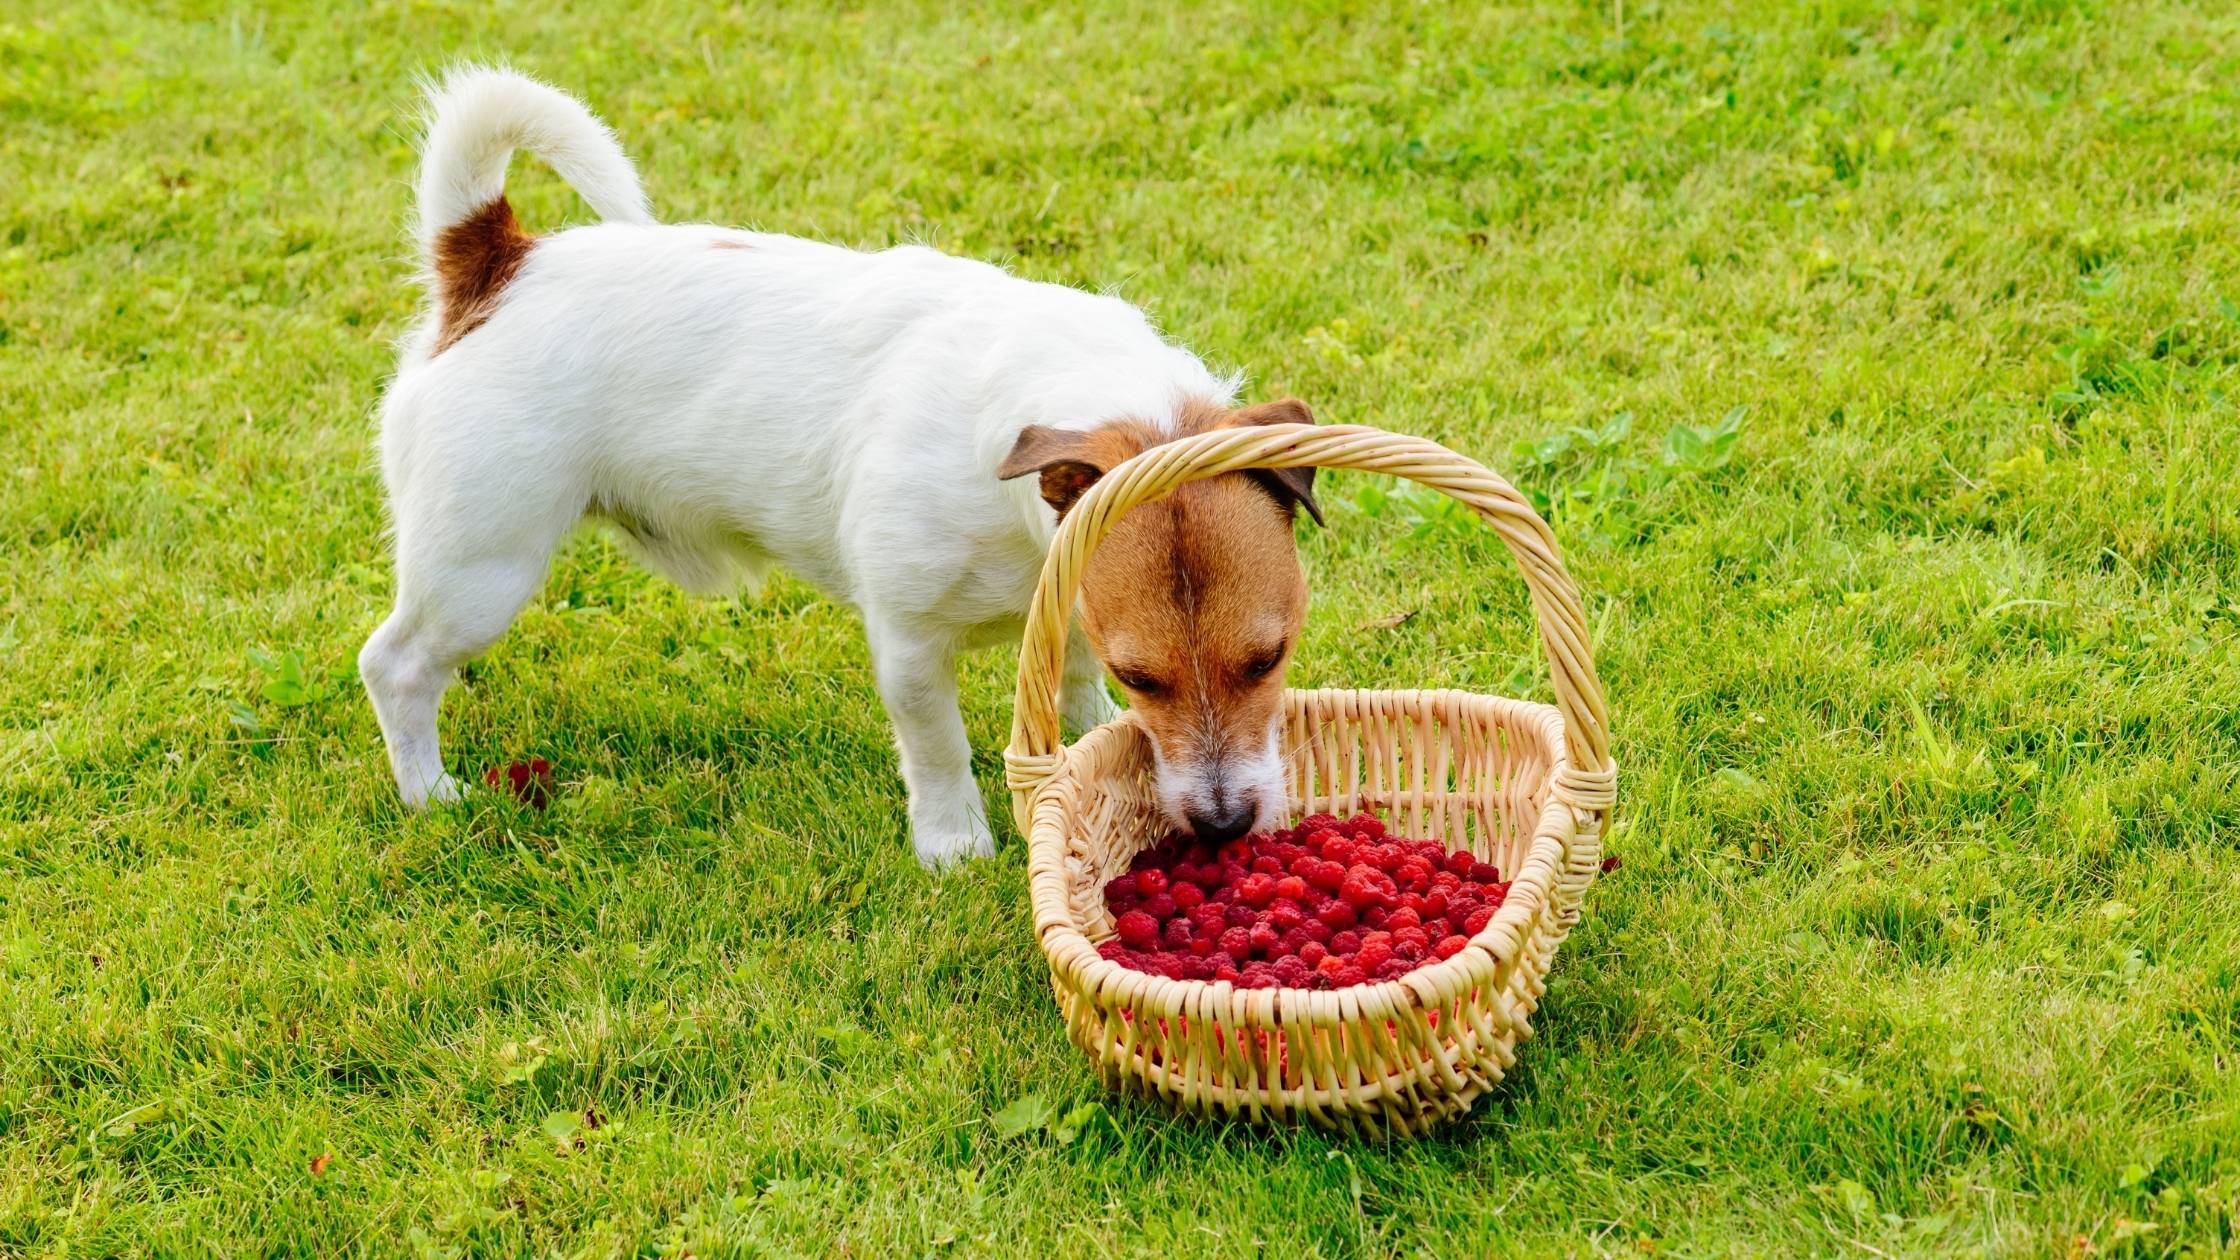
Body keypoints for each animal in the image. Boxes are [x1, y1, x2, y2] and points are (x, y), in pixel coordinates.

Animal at [358, 68, 1317, 869]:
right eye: (1145, 676)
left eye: (1270, 659)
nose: (1225, 824)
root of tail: (497, 263)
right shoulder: (908, 643)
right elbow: (937, 749)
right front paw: (954, 846)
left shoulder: (1071, 596)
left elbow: (1075, 692)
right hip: (481, 566)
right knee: (394, 664)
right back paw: (430, 793)